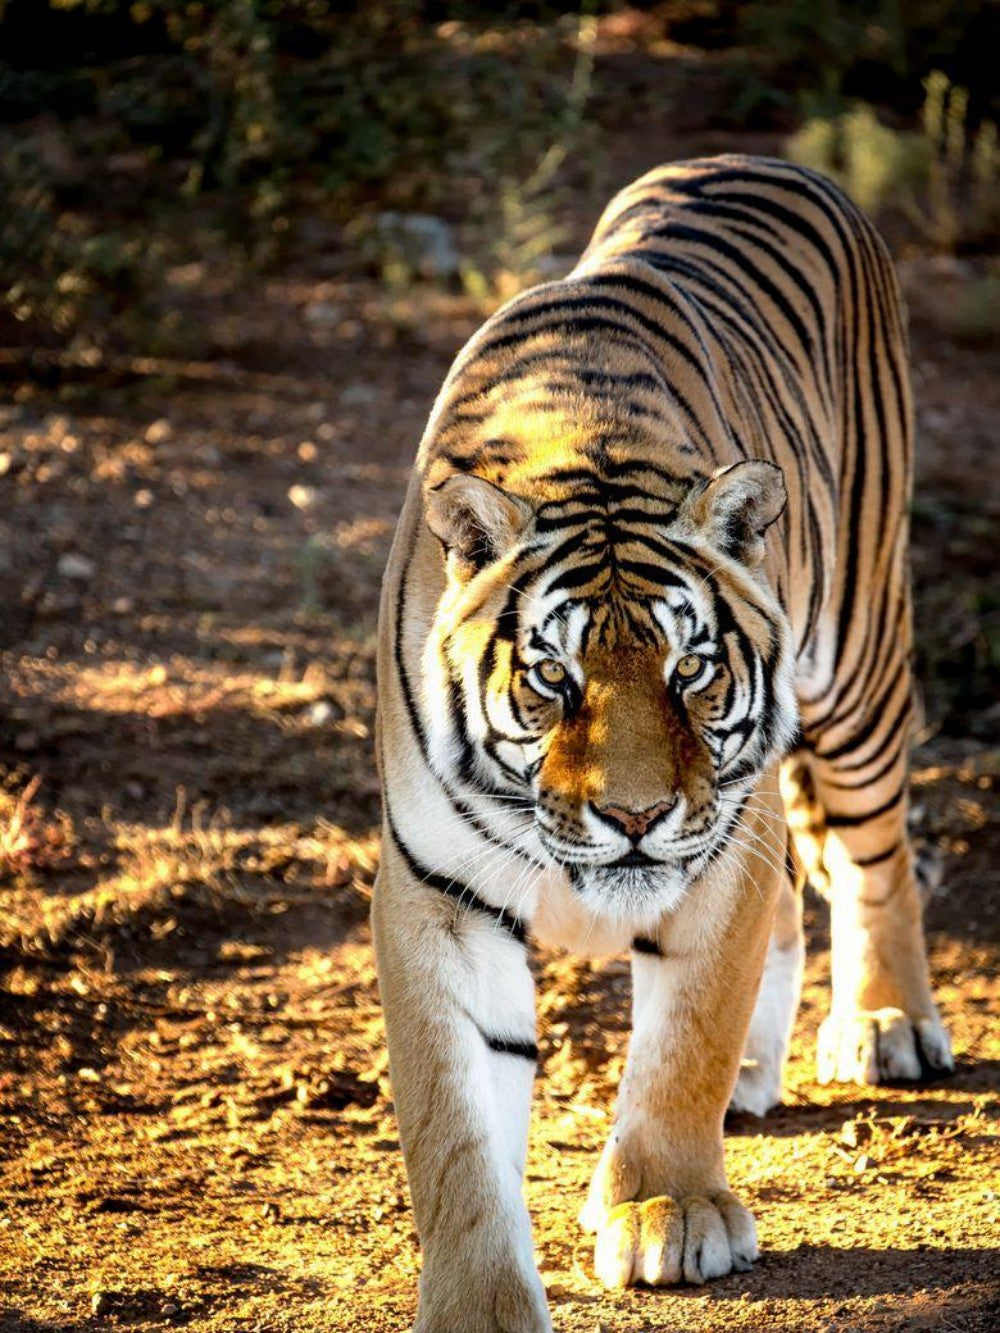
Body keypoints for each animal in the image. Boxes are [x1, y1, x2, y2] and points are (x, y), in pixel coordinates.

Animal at [372, 154, 953, 1333]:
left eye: (691, 669)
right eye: (552, 676)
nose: (635, 816)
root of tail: (766, 157)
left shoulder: (722, 840)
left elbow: (685, 1035)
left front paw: (667, 1211)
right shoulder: (436, 892)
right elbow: (452, 1126)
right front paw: (478, 1301)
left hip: (861, 656)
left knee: (874, 852)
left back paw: (883, 1024)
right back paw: (763, 1071)